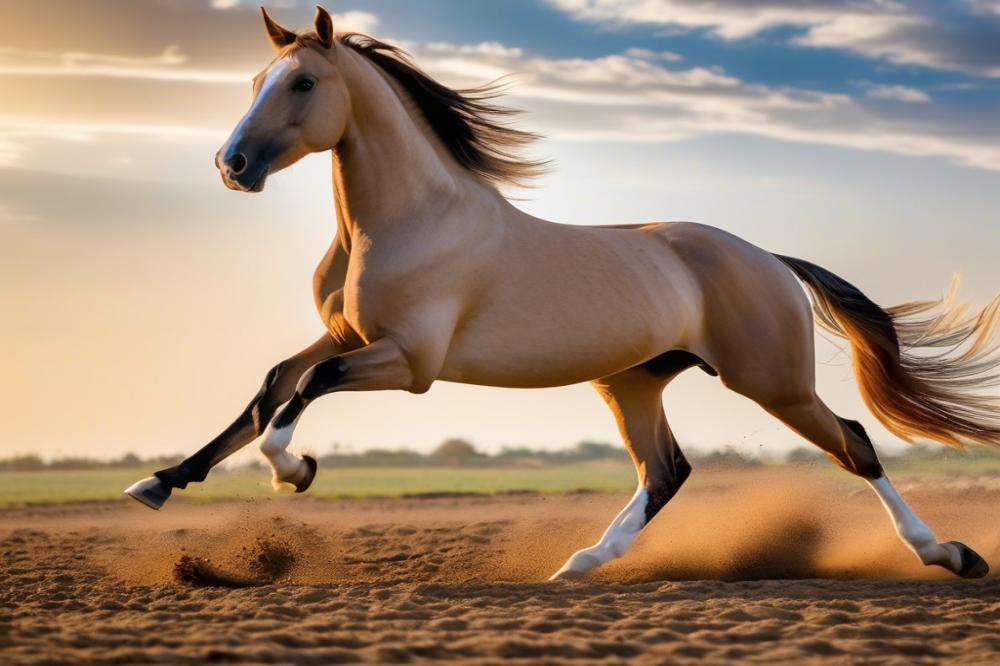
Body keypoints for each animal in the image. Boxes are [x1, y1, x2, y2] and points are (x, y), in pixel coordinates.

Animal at [127, 5, 1000, 580]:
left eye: (303, 83)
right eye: (254, 79)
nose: (233, 164)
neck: (413, 219)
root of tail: (767, 259)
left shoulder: (407, 363)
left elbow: (303, 389)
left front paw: (293, 471)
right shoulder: (349, 335)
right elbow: (270, 385)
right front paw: (158, 484)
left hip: (771, 381)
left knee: (853, 443)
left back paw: (951, 554)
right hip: (632, 382)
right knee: (666, 472)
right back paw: (581, 563)